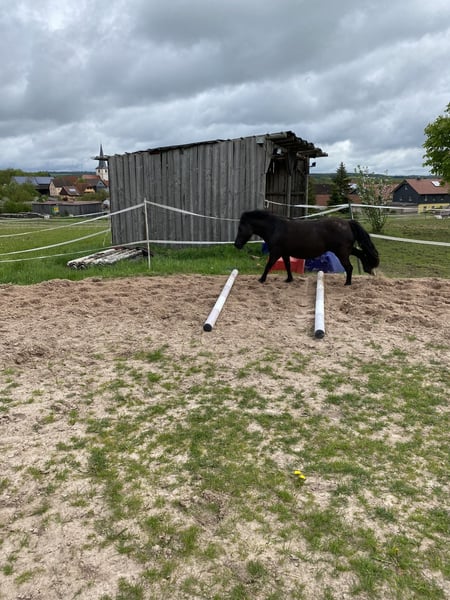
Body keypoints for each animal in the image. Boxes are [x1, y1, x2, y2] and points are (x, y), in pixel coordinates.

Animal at [234, 209, 379, 286]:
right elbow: (287, 266)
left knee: (349, 267)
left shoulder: (275, 252)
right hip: (346, 250)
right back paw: (368, 269)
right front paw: (289, 279)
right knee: (361, 254)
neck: (275, 228)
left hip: (342, 252)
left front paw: (261, 279)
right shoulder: (284, 253)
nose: (236, 244)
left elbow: (268, 265)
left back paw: (347, 283)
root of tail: (347, 223)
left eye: (240, 228)